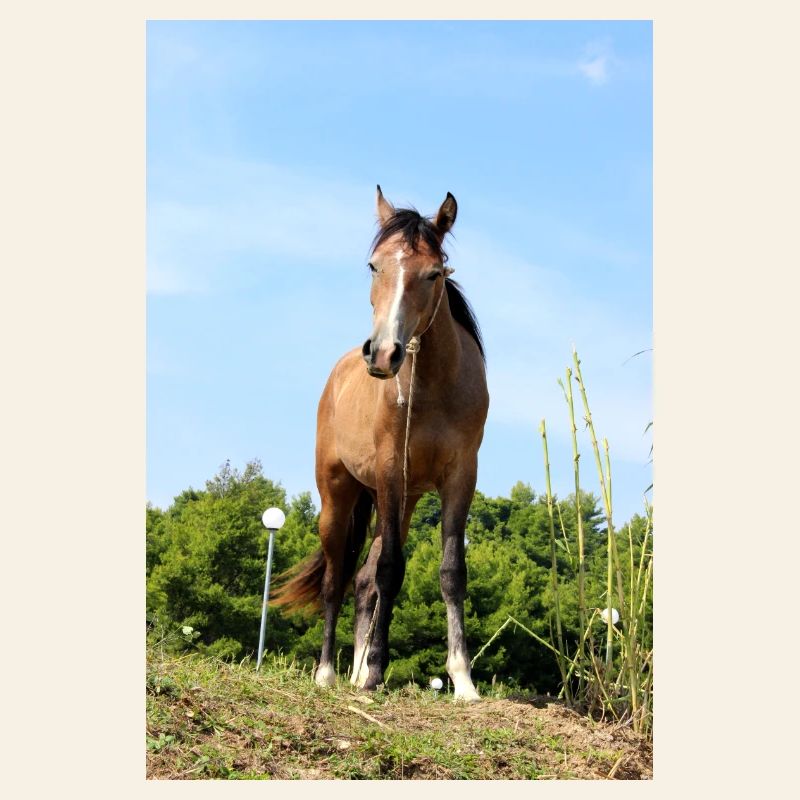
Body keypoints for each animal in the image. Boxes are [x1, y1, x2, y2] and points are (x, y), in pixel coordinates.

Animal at [272, 186, 489, 702]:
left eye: (433, 273)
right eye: (374, 266)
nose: (384, 353)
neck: (433, 386)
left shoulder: (460, 477)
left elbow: (450, 572)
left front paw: (463, 679)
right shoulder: (391, 472)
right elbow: (391, 570)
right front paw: (374, 672)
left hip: (402, 501)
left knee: (363, 580)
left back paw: (353, 670)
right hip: (339, 497)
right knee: (337, 581)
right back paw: (330, 672)